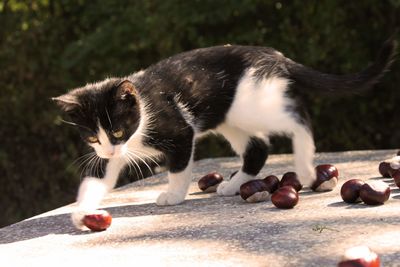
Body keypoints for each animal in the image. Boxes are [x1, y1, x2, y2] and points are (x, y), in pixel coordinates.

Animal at [54, 37, 396, 230]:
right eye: (93, 137)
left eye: (118, 129)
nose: (111, 149)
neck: (142, 113)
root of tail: (274, 55)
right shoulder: (104, 154)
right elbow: (96, 177)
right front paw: (82, 212)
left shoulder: (179, 130)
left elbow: (179, 166)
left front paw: (173, 195)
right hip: (231, 116)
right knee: (258, 146)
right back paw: (235, 185)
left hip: (252, 102)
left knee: (298, 119)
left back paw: (303, 163)